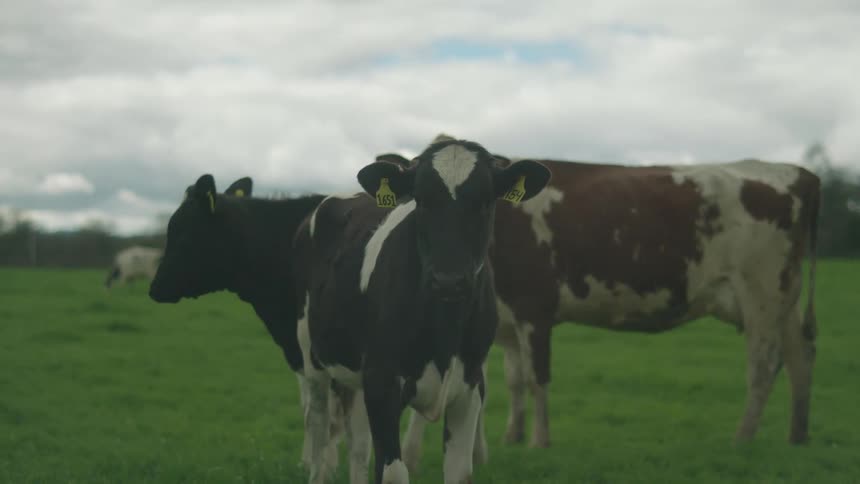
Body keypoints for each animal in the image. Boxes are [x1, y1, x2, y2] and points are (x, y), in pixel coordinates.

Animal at [294, 138, 551, 484]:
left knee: (358, 444)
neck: (443, 333)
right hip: (313, 357)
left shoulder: (470, 386)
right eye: (422, 200)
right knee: (319, 427)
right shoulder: (383, 382)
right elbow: (393, 473)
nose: (449, 281)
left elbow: (459, 473)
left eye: (485, 201)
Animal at [388, 134, 820, 471]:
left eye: (480, 200)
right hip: (784, 298)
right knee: (800, 356)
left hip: (761, 293)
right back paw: (798, 435)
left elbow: (536, 378)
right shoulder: (506, 322)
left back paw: (742, 438)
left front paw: (539, 442)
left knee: (763, 366)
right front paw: (512, 436)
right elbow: (512, 380)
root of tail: (796, 172)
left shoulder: (534, 308)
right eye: (418, 198)